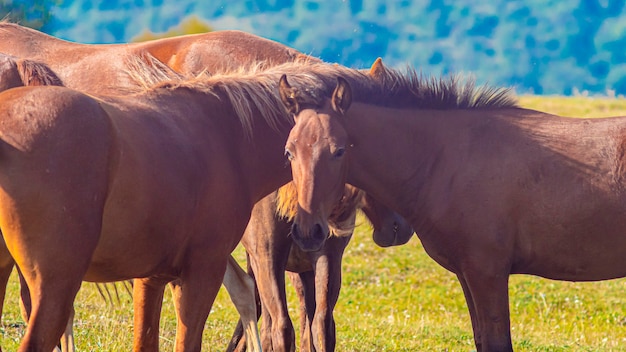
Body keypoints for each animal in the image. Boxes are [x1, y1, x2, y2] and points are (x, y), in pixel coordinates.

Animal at [280, 57, 626, 352]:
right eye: (289, 151)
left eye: (338, 151)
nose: (308, 232)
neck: (445, 159)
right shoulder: (467, 273)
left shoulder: (487, 273)